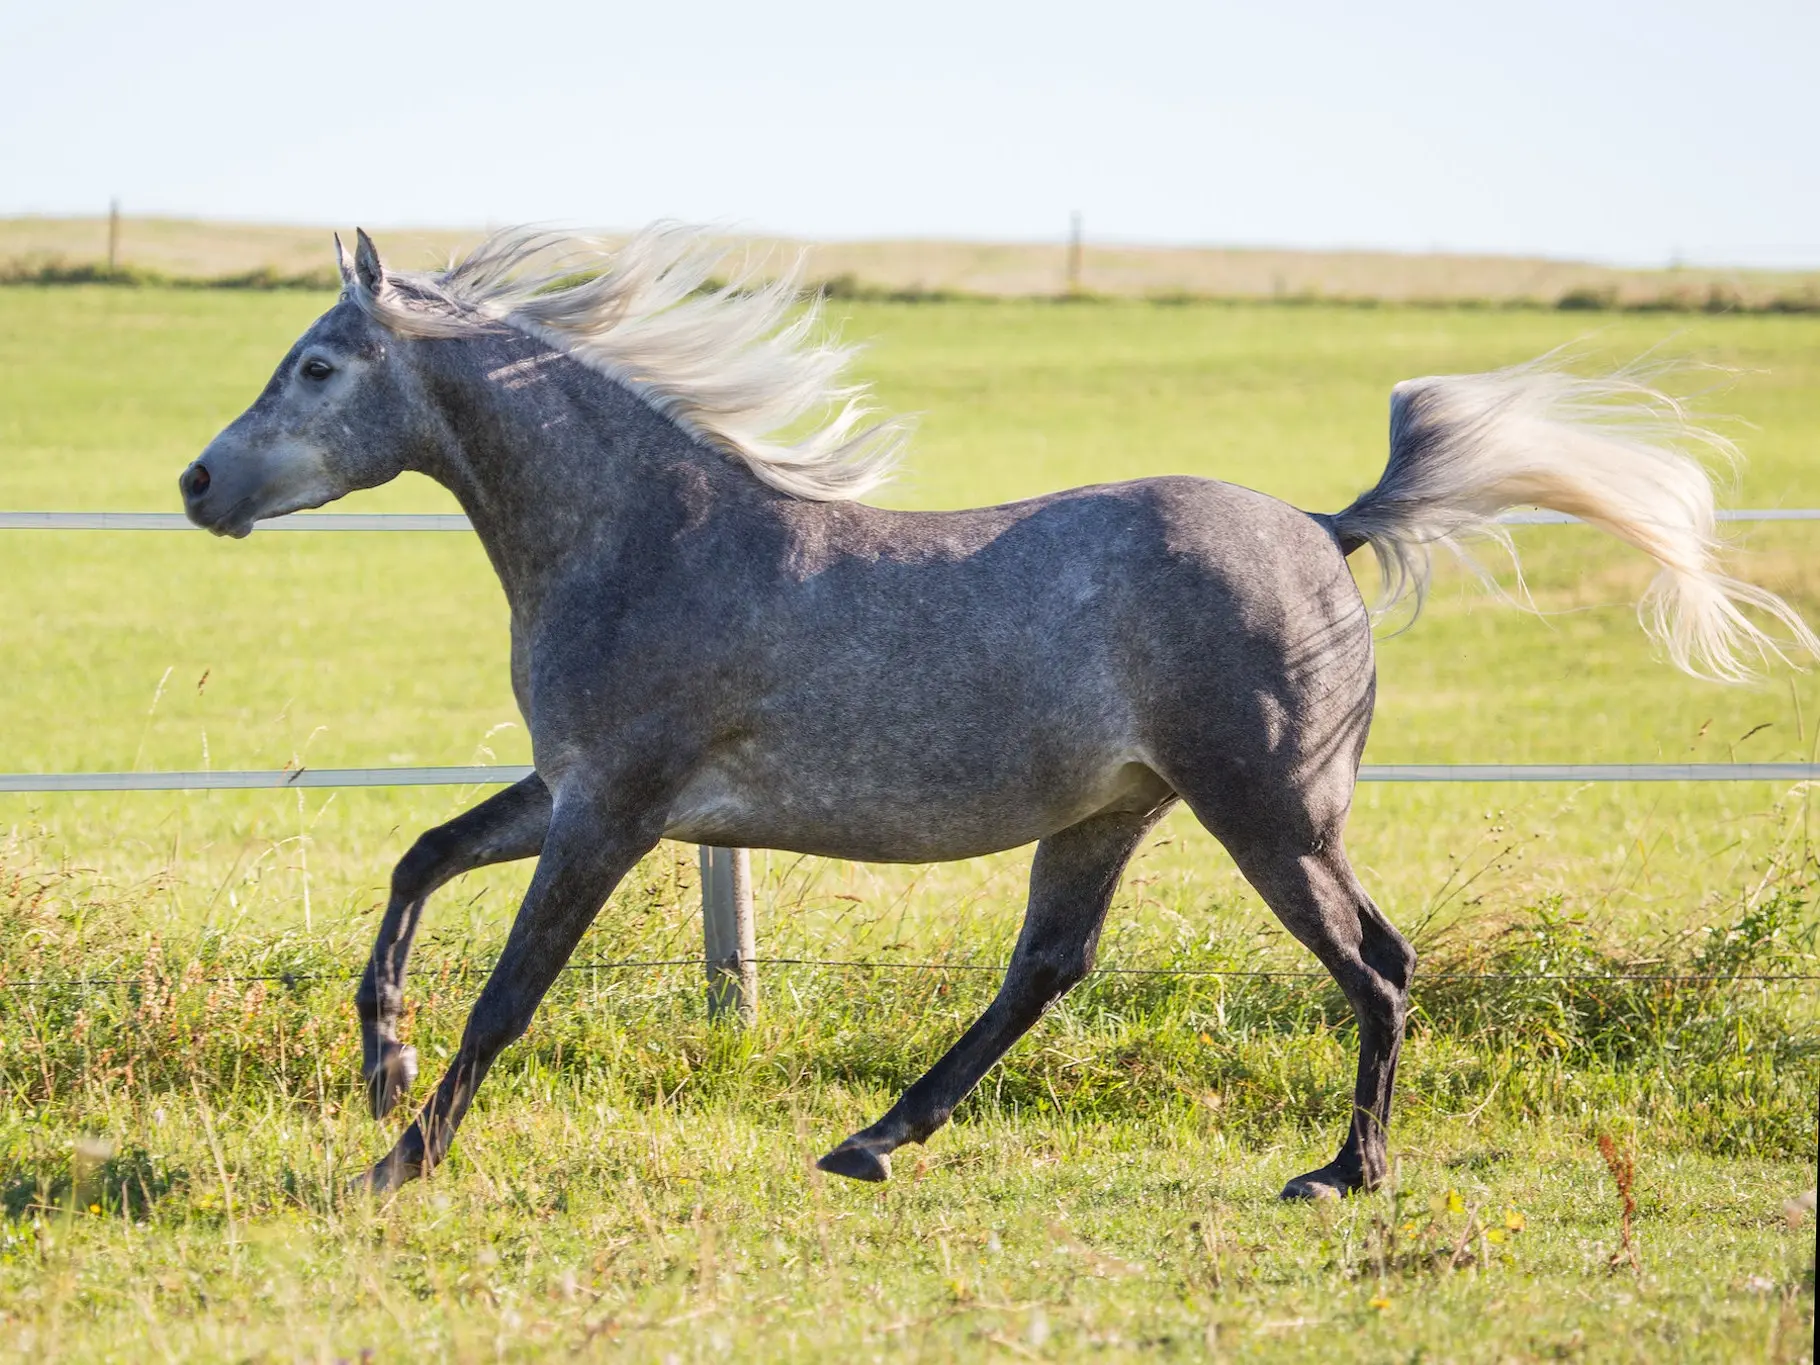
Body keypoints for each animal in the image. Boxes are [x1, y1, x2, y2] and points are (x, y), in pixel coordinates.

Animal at [177, 224, 1812, 1193]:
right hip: (1116, 813)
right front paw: (379, 1063)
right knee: (1051, 967)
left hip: (1269, 811)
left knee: (1375, 964)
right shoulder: (573, 789)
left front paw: (397, 1157)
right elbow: (419, 861)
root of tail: (1324, 526)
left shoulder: (616, 813)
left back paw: (1340, 1174)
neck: (646, 539)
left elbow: (512, 989)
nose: (196, 484)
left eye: (316, 366)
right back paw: (871, 1140)